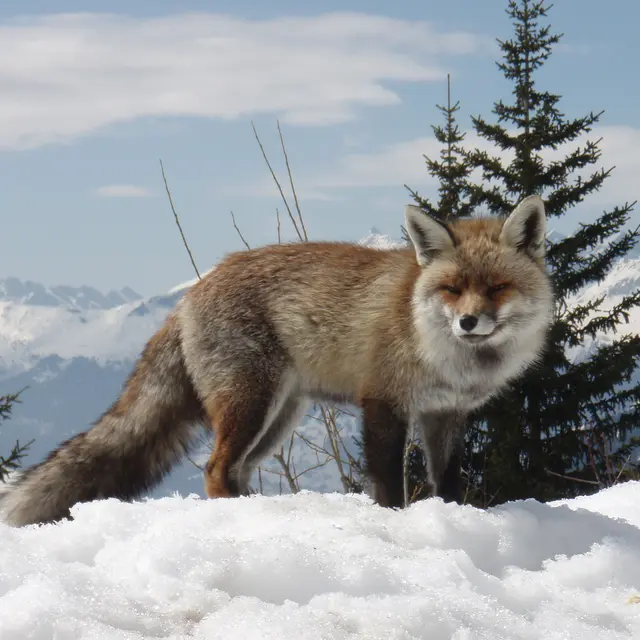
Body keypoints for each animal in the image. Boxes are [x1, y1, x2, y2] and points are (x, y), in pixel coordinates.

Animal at [0, 195, 553, 527]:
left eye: (497, 288)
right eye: (453, 289)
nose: (468, 322)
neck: (446, 354)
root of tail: (189, 294)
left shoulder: (446, 414)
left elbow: (448, 484)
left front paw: (452, 520)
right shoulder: (382, 401)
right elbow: (387, 485)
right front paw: (393, 524)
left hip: (278, 417)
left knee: (236, 471)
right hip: (252, 405)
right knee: (215, 469)